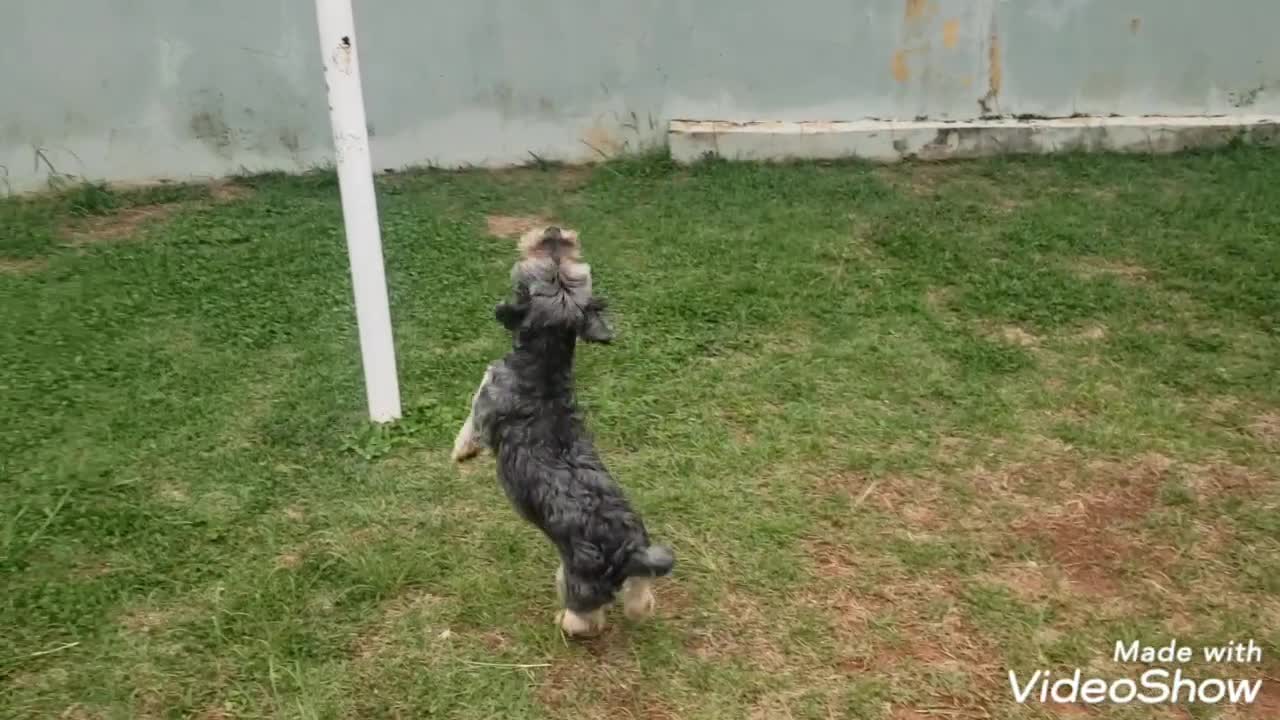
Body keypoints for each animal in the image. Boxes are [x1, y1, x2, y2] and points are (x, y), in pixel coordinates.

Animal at [450, 224, 675, 632]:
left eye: (548, 254)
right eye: (564, 254)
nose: (554, 231)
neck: (545, 366)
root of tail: (629, 550)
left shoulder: (487, 395)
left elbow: (469, 426)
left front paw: (461, 452)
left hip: (573, 579)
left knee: (586, 619)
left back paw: (564, 623)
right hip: (638, 572)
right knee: (640, 599)